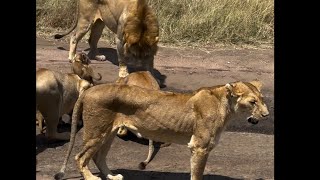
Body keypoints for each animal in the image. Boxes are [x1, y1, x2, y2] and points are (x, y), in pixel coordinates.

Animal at [55, 80, 270, 180]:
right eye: (252, 102)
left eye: (262, 99)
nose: (267, 114)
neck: (225, 106)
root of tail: (89, 90)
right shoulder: (199, 147)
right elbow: (197, 174)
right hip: (96, 131)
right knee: (80, 157)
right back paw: (91, 177)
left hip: (108, 133)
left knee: (99, 157)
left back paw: (112, 176)